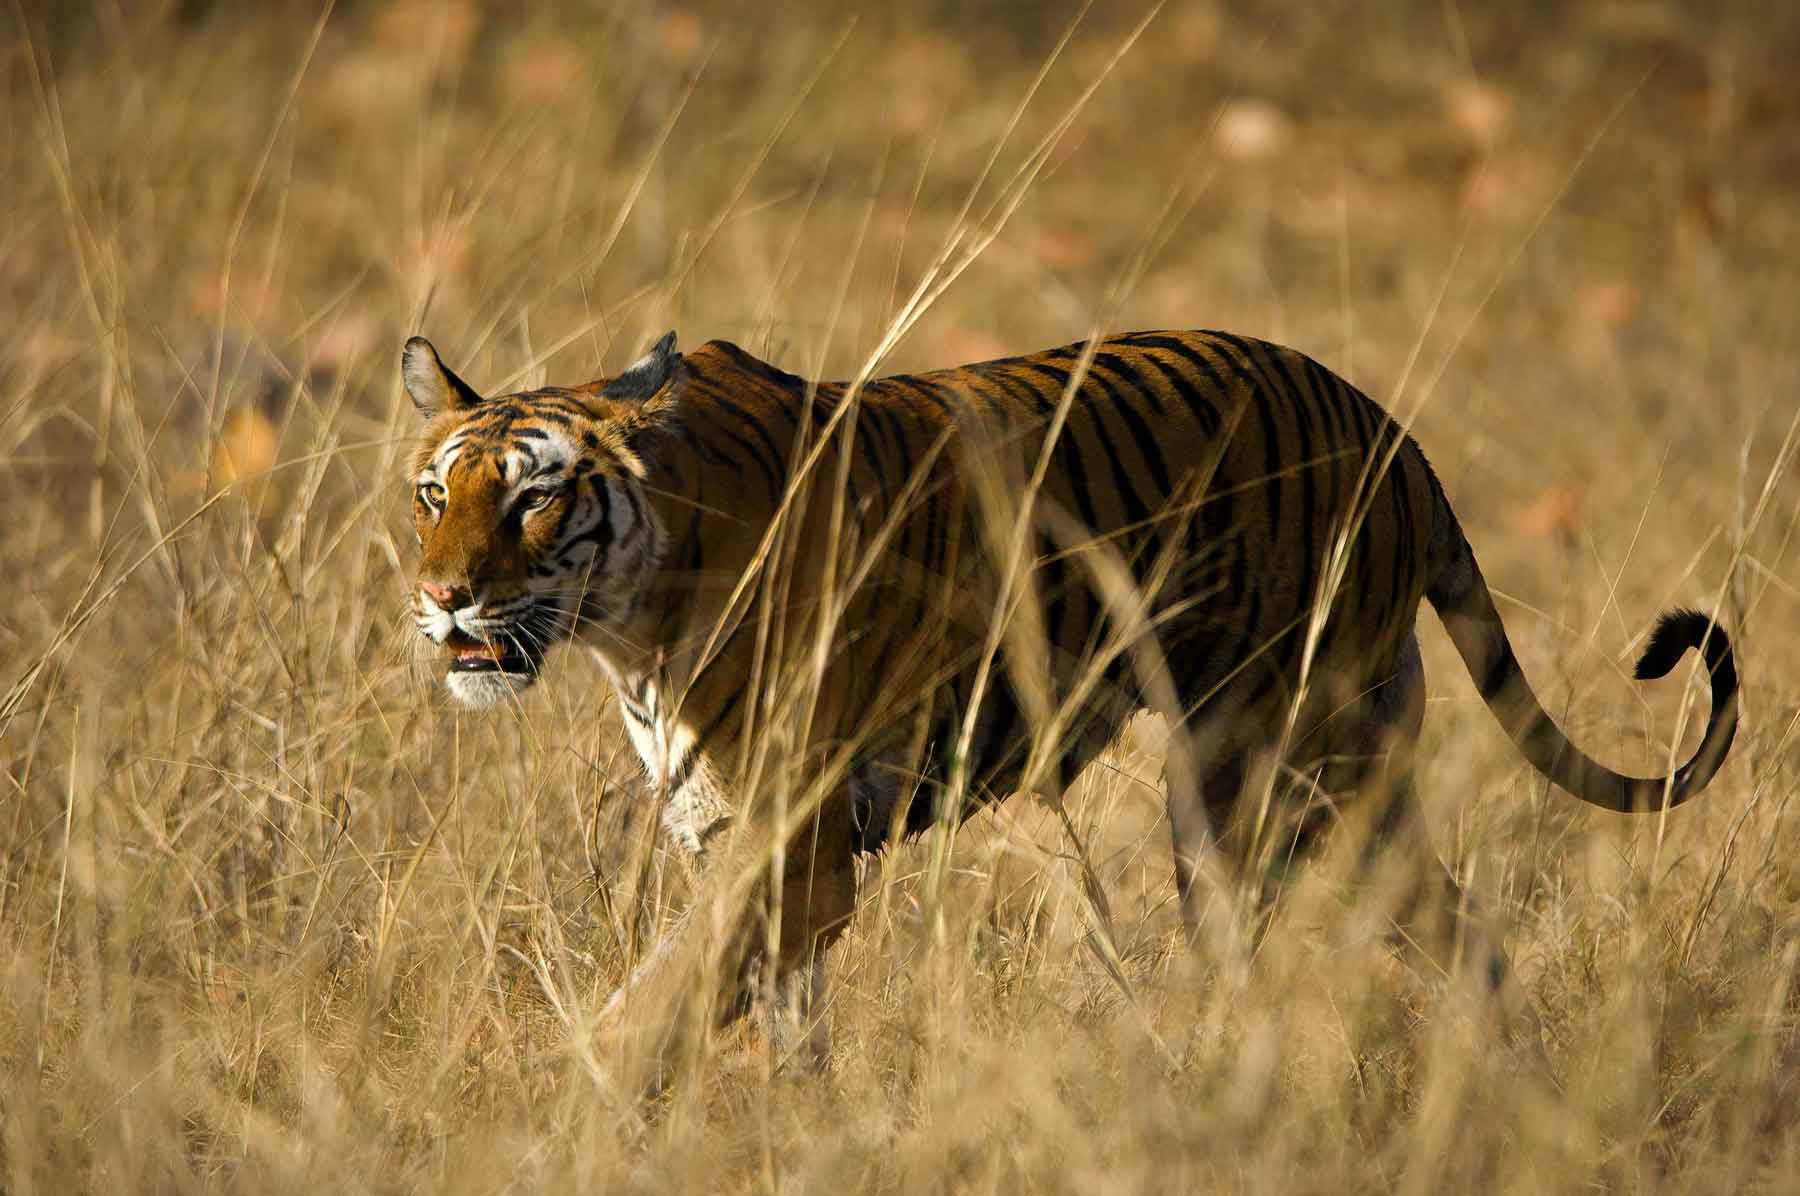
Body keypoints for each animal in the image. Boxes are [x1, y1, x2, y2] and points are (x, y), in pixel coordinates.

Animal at [405, 329, 1728, 1066]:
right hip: (1354, 783)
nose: (443, 598)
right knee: (1463, 940)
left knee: (1259, 946)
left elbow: (660, 1000)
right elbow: (769, 1020)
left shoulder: (796, 841)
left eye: (535, 497)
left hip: (1257, 774)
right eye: (434, 493)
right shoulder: (731, 833)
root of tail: (1397, 435)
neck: (632, 625)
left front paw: (573, 1106)